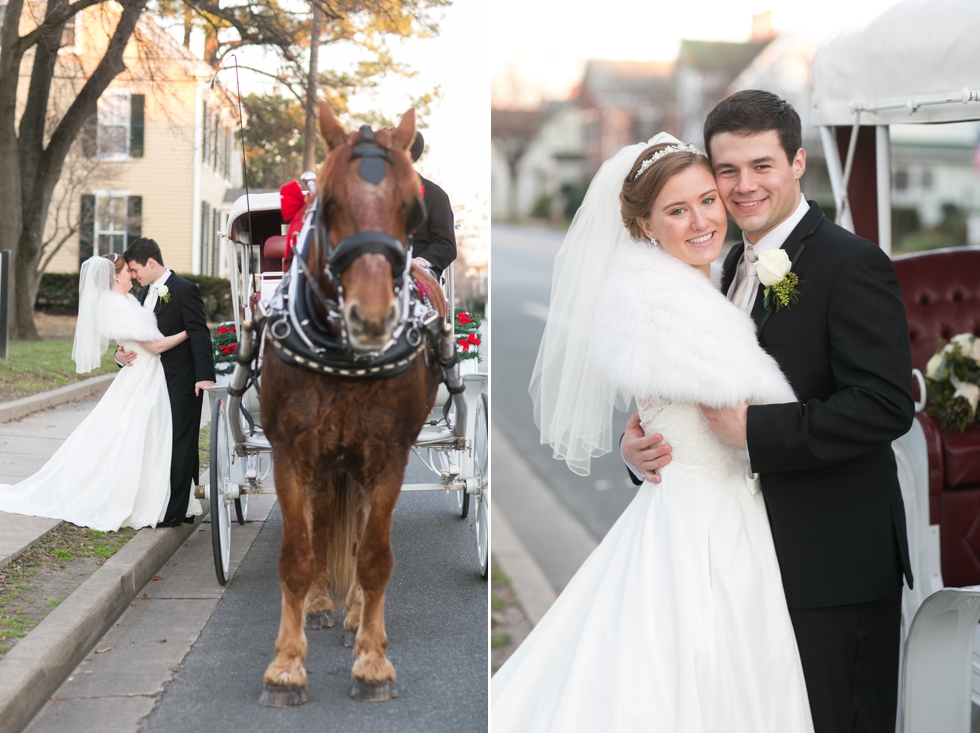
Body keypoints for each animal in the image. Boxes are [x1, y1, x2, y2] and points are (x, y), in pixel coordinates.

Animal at [258, 103, 446, 704]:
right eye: (330, 202)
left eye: (411, 207)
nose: (372, 316)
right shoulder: (292, 454)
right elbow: (299, 554)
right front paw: (286, 666)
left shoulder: (388, 456)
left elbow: (374, 556)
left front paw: (371, 659)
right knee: (321, 526)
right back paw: (322, 603)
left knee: (360, 530)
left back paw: (356, 615)